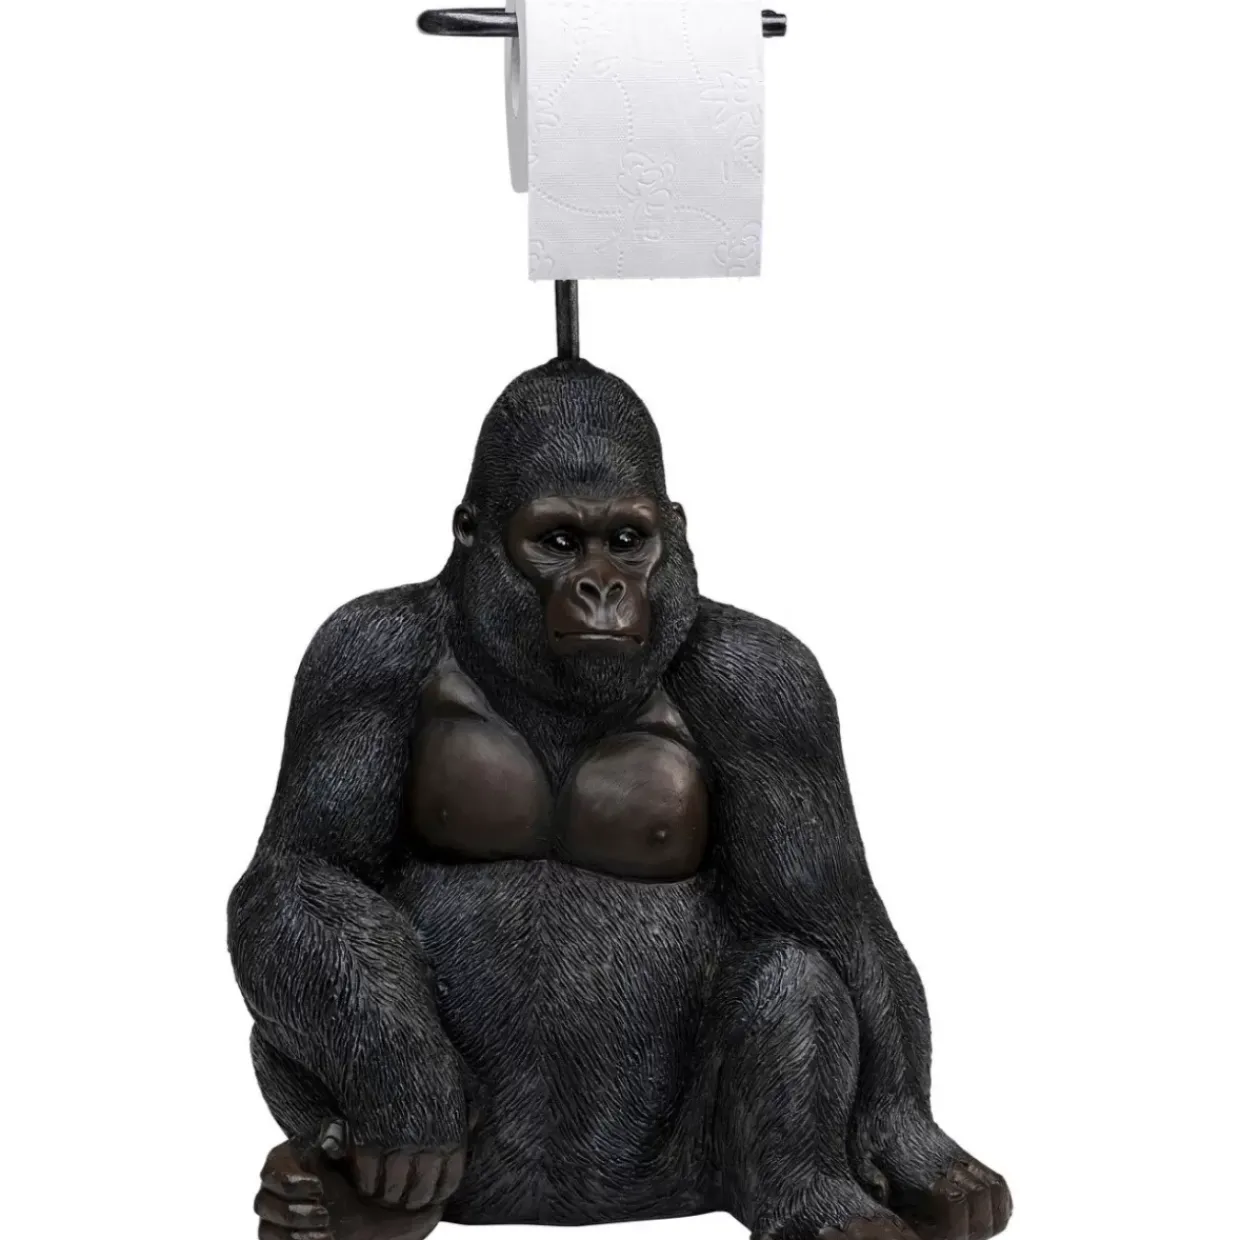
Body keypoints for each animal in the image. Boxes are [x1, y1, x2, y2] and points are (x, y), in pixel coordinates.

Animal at [228, 358, 1011, 1240]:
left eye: (629, 542)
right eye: (559, 541)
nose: (602, 587)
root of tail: (562, 1214)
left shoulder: (774, 688)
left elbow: (833, 914)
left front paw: (918, 1148)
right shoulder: (355, 655)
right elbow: (303, 869)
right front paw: (409, 1094)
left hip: (682, 1178)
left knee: (795, 974)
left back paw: (819, 1205)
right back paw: (342, 1199)